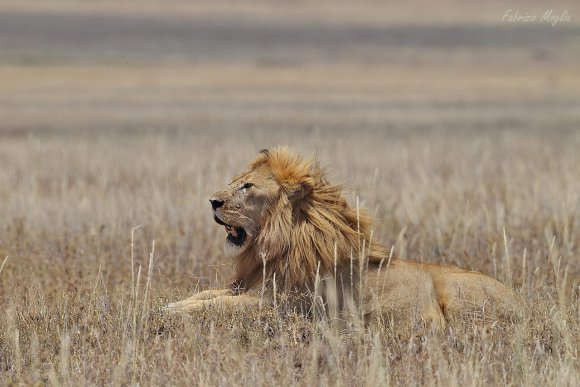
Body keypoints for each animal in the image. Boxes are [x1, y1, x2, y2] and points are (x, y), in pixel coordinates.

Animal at [167, 146, 524, 330]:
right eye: (235, 181)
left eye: (248, 186)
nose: (212, 202)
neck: (271, 248)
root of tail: (523, 302)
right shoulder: (247, 288)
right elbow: (205, 295)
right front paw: (170, 304)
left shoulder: (278, 306)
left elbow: (217, 306)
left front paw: (172, 313)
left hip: (454, 292)